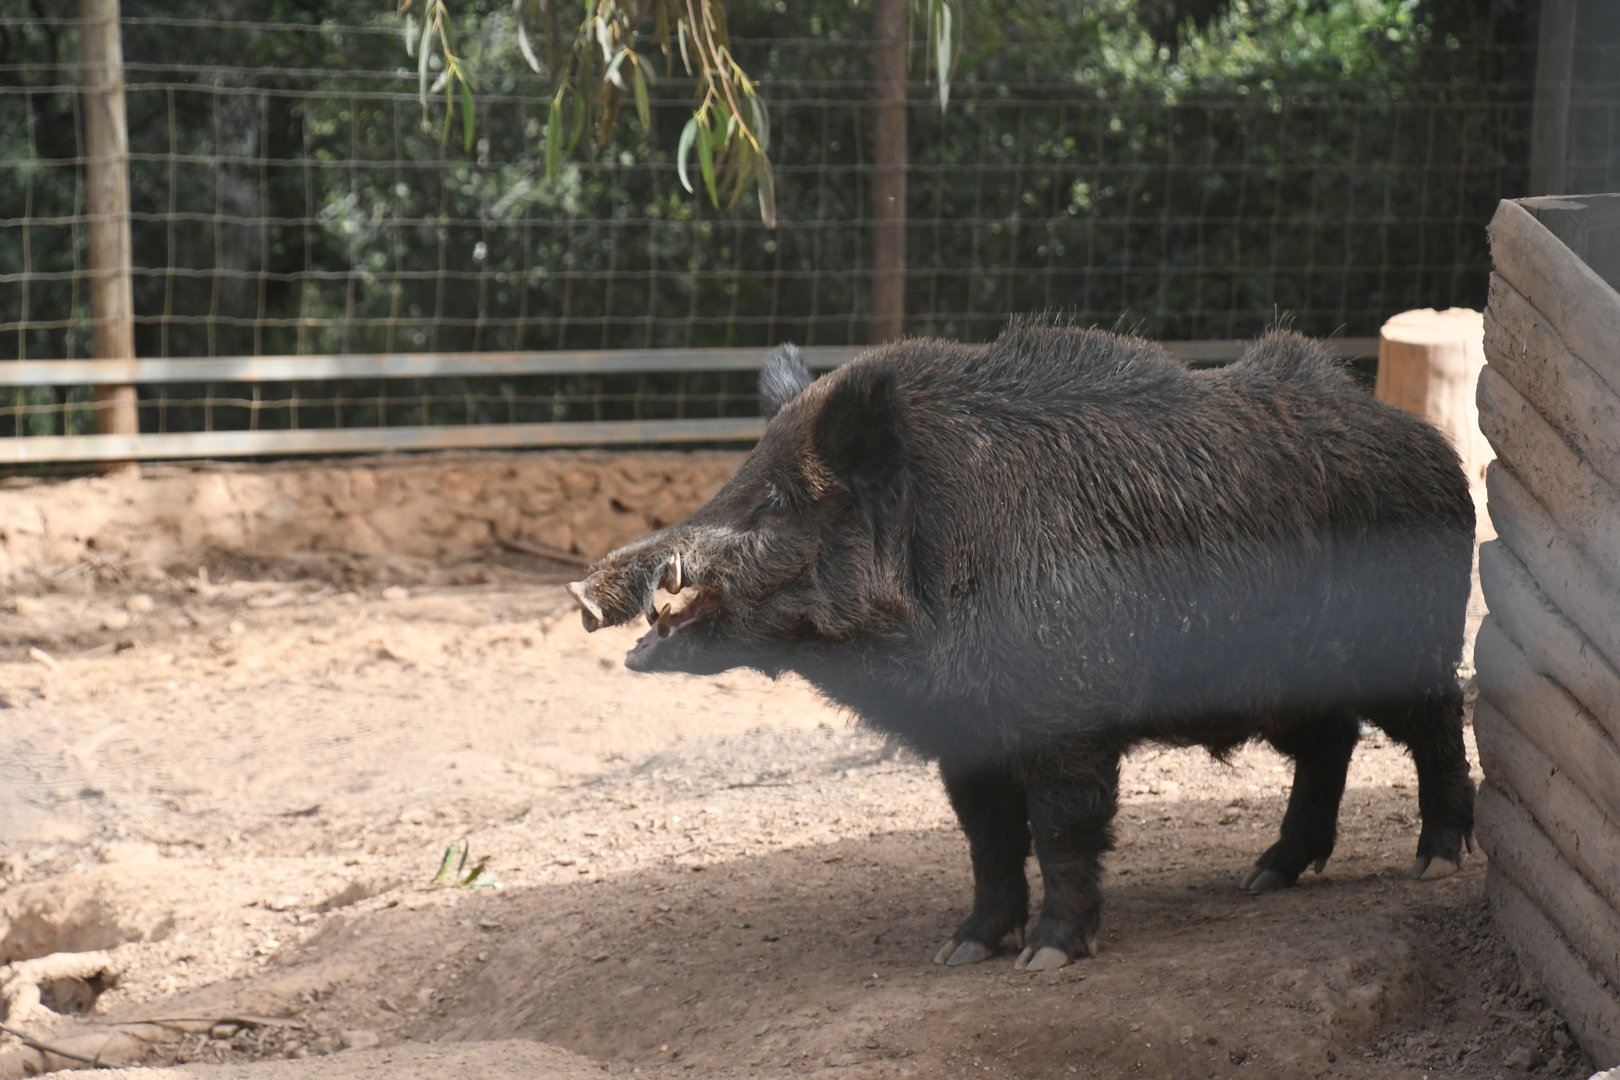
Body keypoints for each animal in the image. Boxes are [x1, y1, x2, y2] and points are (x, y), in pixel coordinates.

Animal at [566, 320, 1476, 971]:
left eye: (784, 497)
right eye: (740, 475)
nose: (583, 587)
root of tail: (1437, 454)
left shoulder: (1067, 717)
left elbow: (1066, 829)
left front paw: (1045, 959)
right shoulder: (965, 736)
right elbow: (990, 839)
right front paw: (961, 950)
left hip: (1410, 642)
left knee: (1438, 727)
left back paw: (1439, 865)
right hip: (1292, 684)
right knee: (1330, 744)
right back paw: (1266, 876)